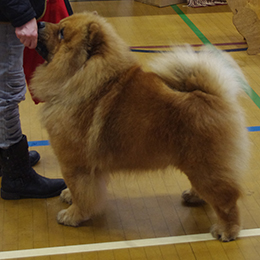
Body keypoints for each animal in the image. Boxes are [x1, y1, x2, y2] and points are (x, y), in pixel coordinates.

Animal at [30, 10, 250, 242]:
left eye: (62, 33)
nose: (39, 23)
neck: (80, 77)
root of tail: (213, 96)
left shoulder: (75, 164)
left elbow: (82, 193)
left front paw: (73, 215)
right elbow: (79, 190)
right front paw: (68, 196)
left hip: (206, 167)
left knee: (227, 200)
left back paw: (227, 230)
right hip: (199, 167)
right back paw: (193, 196)